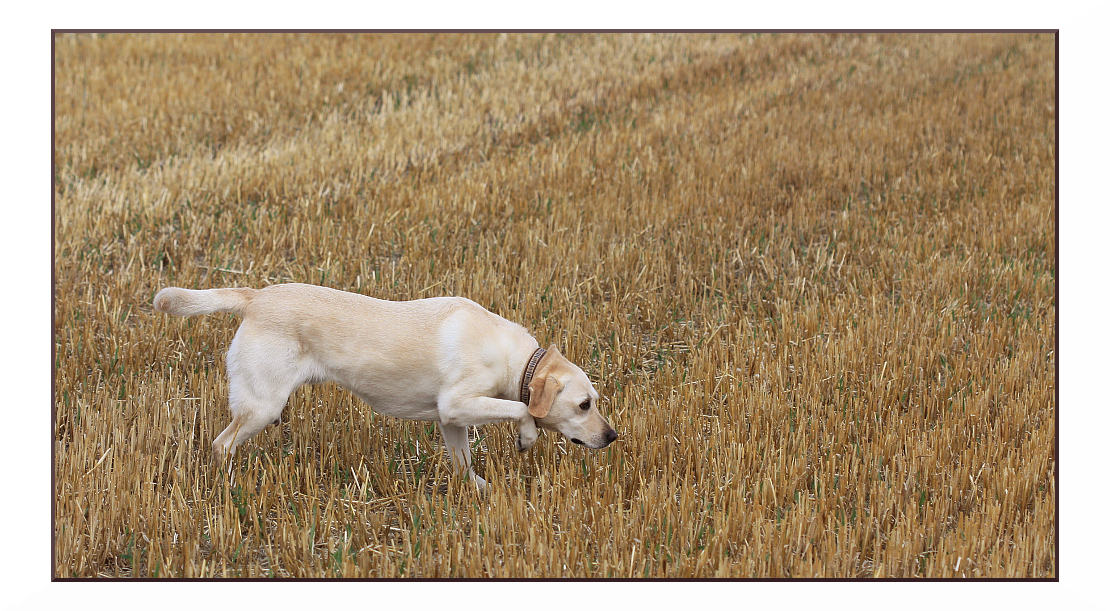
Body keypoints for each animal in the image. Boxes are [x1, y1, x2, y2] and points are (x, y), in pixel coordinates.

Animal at [150, 284, 617, 491]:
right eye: (584, 405)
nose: (612, 436)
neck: (516, 360)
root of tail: (257, 296)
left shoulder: (450, 419)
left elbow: (463, 460)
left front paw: (478, 489)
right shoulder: (458, 402)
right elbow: (521, 409)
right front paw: (526, 437)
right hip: (261, 405)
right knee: (220, 445)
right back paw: (229, 486)